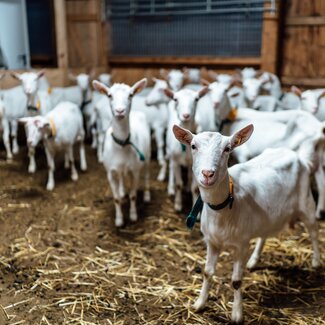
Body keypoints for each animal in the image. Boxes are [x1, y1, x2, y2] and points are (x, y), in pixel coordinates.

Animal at [92, 77, 151, 227]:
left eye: (131, 95)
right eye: (109, 95)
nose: (120, 111)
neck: (122, 145)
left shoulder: (135, 170)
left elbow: (133, 195)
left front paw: (133, 216)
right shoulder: (110, 172)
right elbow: (117, 198)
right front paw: (119, 220)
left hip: (147, 156)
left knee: (146, 175)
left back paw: (147, 196)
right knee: (121, 177)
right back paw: (122, 189)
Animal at [173, 123, 320, 322]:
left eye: (227, 148)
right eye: (193, 146)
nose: (208, 174)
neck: (225, 208)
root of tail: (299, 157)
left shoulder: (241, 244)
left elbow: (236, 281)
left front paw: (237, 314)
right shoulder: (211, 241)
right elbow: (207, 272)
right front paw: (199, 304)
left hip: (306, 202)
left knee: (313, 230)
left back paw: (316, 261)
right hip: (269, 215)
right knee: (264, 235)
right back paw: (253, 261)